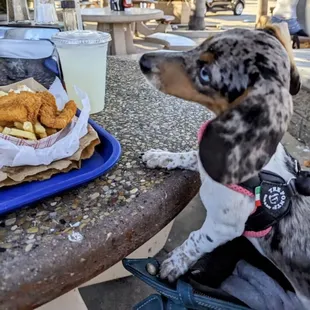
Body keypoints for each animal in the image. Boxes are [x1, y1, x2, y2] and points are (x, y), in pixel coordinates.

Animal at [140, 25, 310, 308]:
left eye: (206, 74)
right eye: (201, 44)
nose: (143, 60)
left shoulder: (222, 227)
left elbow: (195, 240)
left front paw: (175, 263)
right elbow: (189, 157)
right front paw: (160, 156)